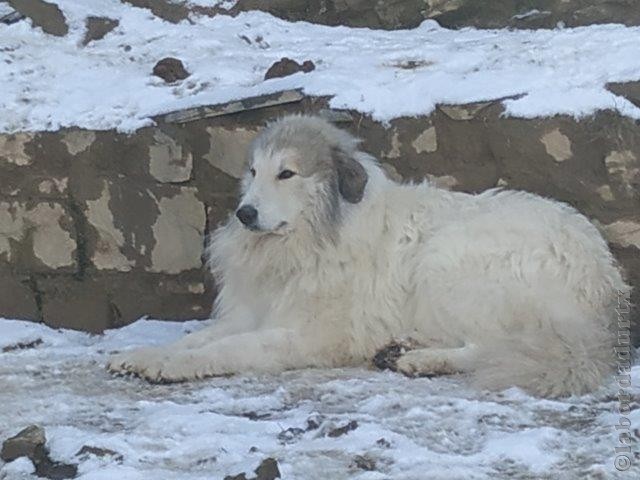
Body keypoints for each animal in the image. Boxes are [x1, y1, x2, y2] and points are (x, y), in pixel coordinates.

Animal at [107, 114, 628, 396]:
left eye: (287, 174)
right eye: (253, 171)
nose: (244, 213)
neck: (312, 237)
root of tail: (602, 274)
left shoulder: (307, 335)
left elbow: (227, 349)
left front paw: (168, 367)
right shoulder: (253, 314)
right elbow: (200, 337)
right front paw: (143, 354)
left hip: (447, 261)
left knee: (492, 346)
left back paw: (423, 360)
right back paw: (404, 346)